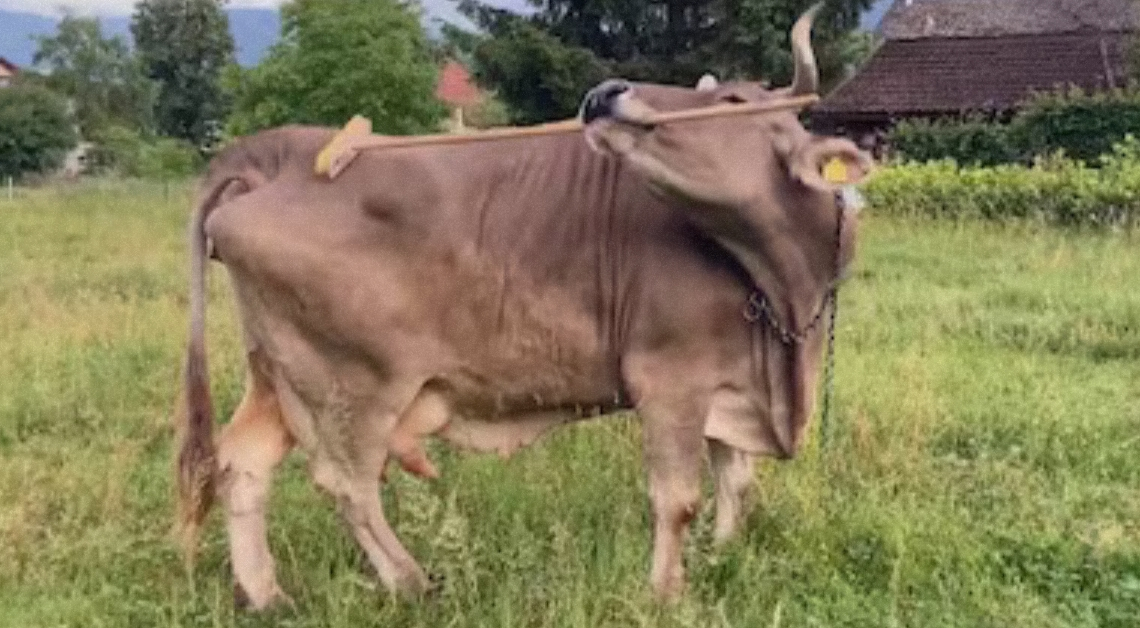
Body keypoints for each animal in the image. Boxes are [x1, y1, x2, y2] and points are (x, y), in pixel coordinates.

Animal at [173, 4, 872, 610]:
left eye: (732, 101)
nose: (606, 92)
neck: (784, 291)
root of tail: (280, 151)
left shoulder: (734, 383)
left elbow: (737, 483)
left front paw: (723, 557)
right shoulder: (671, 380)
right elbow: (678, 497)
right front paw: (667, 594)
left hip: (278, 372)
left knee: (242, 463)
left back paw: (267, 595)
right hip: (352, 384)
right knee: (346, 483)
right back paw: (412, 583)